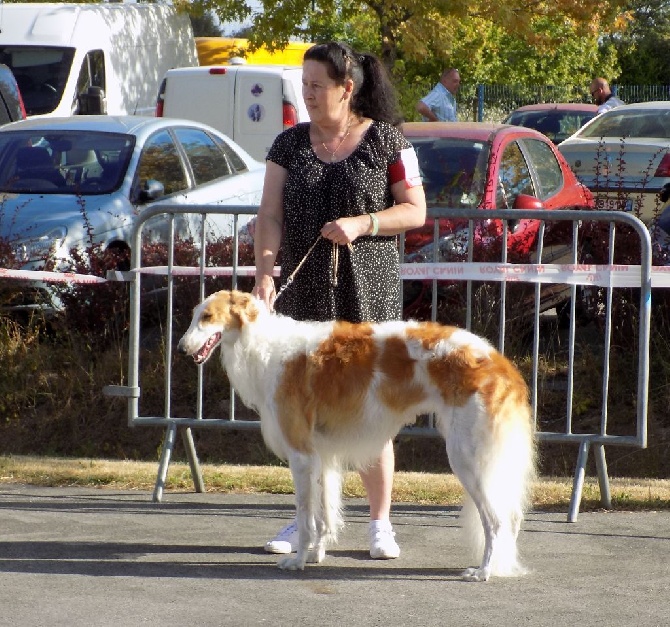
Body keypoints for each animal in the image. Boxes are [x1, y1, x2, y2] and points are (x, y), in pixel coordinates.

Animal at [178, 290, 536, 584]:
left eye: (207, 316)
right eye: (195, 315)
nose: (181, 349)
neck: (263, 346)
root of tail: (500, 362)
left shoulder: (301, 454)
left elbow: (306, 516)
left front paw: (298, 561)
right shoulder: (322, 455)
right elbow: (323, 515)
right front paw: (315, 554)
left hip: (467, 458)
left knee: (497, 521)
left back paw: (484, 571)